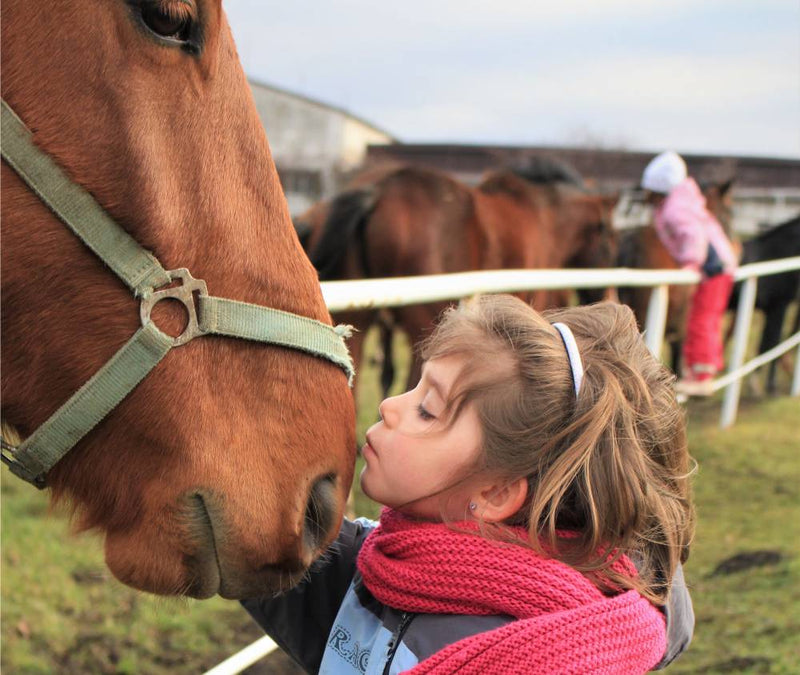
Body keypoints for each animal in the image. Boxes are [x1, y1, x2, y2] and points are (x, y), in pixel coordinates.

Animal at [306, 160, 620, 396]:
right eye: (610, 241)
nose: (607, 297)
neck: (546, 217)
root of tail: (378, 190)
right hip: (425, 326)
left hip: (361, 322)